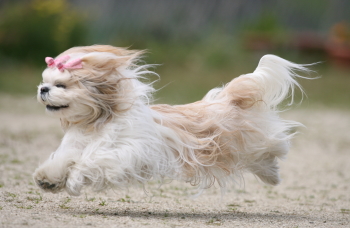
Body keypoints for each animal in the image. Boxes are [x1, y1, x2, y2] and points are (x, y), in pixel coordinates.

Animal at [32, 45, 308, 196]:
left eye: (61, 85)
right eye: (45, 81)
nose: (43, 89)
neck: (98, 122)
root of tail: (228, 98)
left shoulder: (124, 151)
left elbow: (90, 163)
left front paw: (74, 181)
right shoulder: (77, 146)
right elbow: (65, 160)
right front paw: (48, 179)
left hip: (244, 142)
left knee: (272, 146)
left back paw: (273, 172)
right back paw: (272, 175)